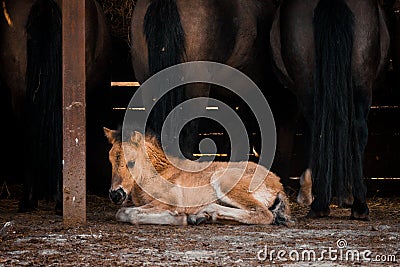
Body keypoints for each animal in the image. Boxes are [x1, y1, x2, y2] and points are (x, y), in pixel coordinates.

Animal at [102, 127, 290, 226]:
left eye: (131, 162)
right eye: (109, 160)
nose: (116, 194)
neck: (160, 172)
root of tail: (278, 184)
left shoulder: (168, 203)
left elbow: (126, 213)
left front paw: (179, 218)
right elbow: (125, 211)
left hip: (223, 181)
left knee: (263, 214)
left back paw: (205, 212)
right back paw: (202, 216)